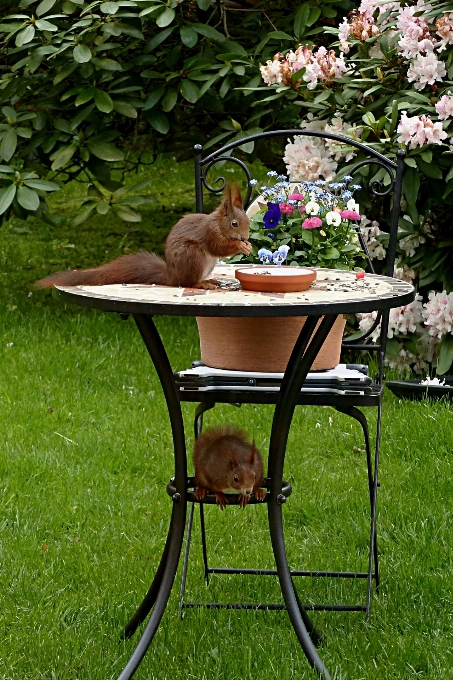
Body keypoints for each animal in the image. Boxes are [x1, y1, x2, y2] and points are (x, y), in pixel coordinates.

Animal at [36, 182, 251, 288]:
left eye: (248, 222)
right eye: (234, 224)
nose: (245, 237)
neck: (218, 223)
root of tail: (171, 275)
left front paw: (247, 246)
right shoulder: (209, 233)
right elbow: (218, 247)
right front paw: (240, 246)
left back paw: (210, 280)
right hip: (191, 255)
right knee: (187, 282)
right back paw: (202, 284)